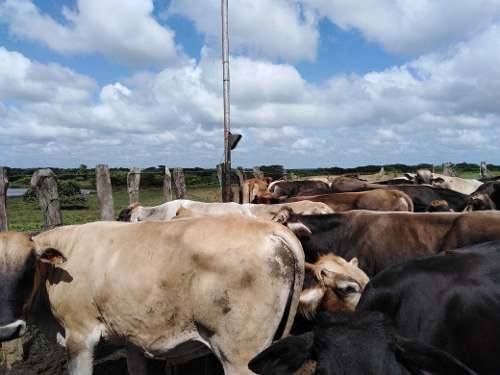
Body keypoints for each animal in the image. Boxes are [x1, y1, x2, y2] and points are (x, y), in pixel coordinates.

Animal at [0, 214, 304, 375]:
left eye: (30, 267)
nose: (7, 330)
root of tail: (270, 229)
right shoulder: (130, 333)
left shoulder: (80, 336)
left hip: (239, 357)